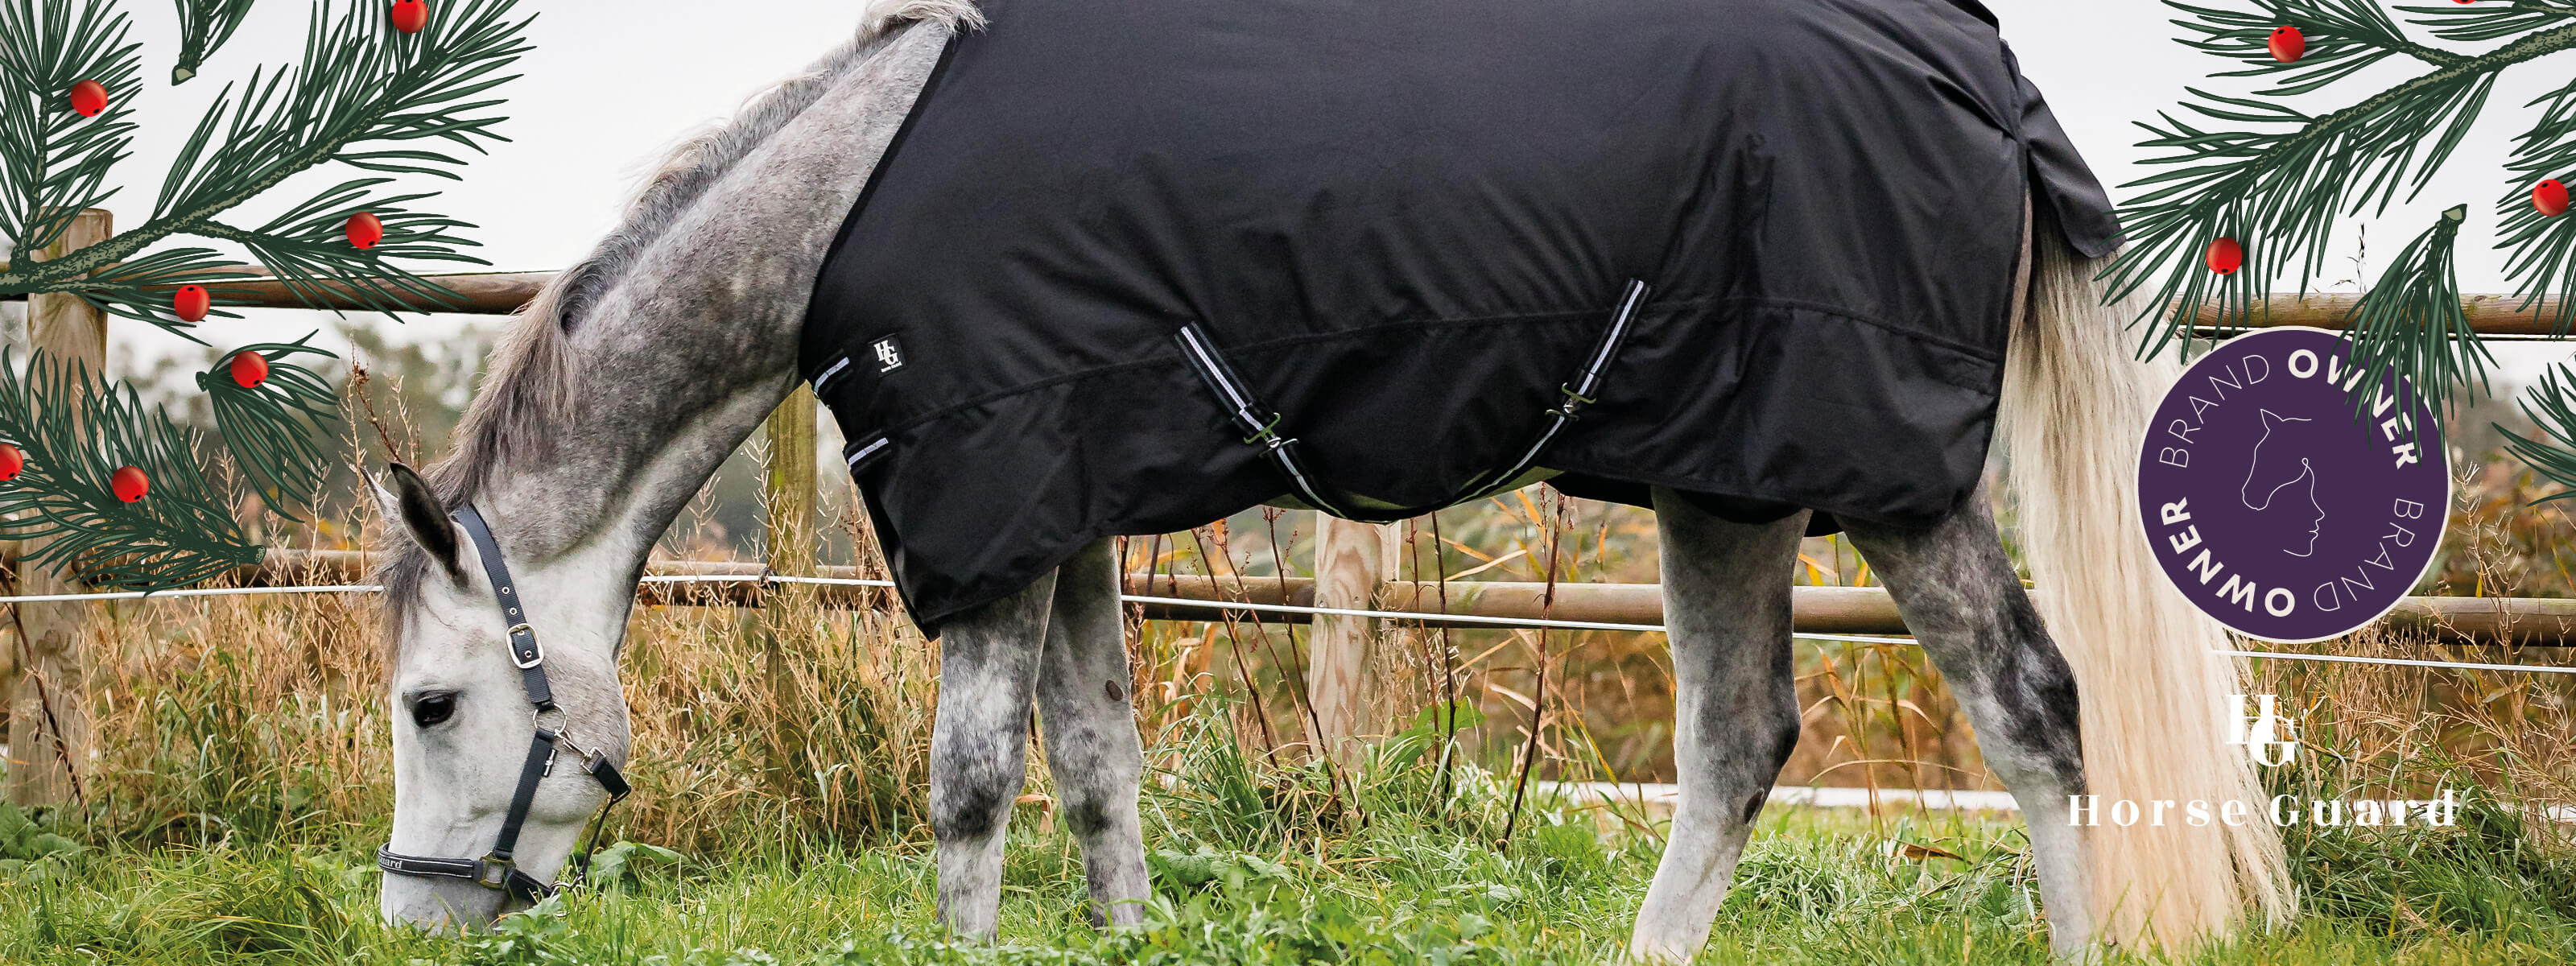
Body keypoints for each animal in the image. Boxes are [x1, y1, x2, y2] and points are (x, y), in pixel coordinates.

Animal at [365, 2, 2290, 960]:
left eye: (430, 704)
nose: (409, 917)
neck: (858, 192)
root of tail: (1982, 70)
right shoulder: (1067, 512)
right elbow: (1097, 769)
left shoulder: (997, 521)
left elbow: (972, 787)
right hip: (1732, 487)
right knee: (1753, 742)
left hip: (1869, 477)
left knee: (2027, 711)